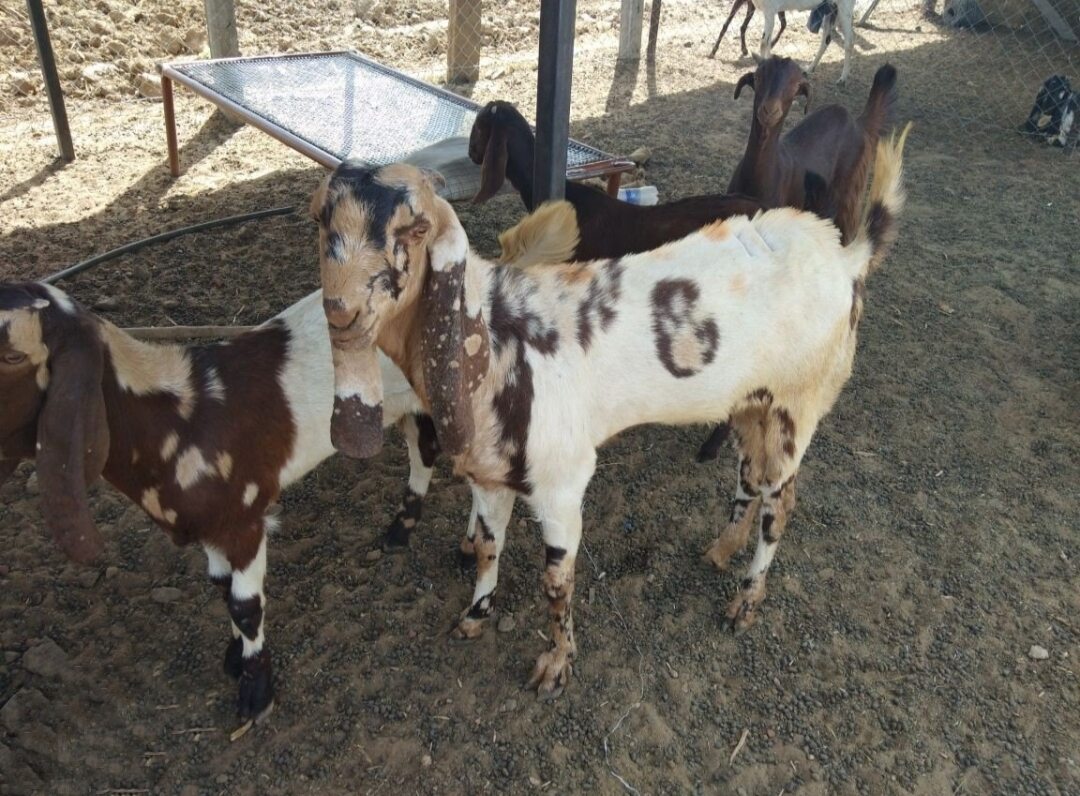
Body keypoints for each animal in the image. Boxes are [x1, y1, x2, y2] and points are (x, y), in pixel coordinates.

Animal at [0, 286, 440, 720]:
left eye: (12, 355)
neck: (179, 420)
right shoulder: (210, 524)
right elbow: (222, 588)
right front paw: (234, 657)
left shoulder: (243, 520)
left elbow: (245, 605)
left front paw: (256, 694)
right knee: (425, 448)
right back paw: (401, 530)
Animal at [313, 124, 908, 697]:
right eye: (322, 221)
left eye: (414, 230)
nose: (341, 312)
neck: (498, 340)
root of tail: (846, 253)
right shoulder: (489, 476)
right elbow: (486, 547)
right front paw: (475, 615)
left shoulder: (562, 482)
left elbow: (557, 583)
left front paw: (556, 667)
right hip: (750, 400)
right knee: (751, 477)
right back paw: (722, 548)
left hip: (797, 403)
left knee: (779, 503)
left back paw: (745, 602)